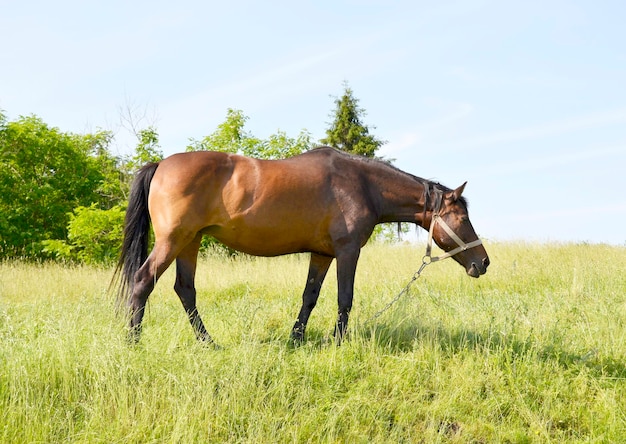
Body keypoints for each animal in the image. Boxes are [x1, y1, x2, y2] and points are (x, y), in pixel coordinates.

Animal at [114, 146, 490, 344]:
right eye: (461, 218)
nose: (483, 262)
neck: (362, 185)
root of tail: (160, 164)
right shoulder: (347, 251)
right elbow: (344, 297)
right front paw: (339, 341)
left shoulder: (322, 254)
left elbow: (310, 296)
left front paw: (296, 338)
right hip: (173, 240)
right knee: (144, 281)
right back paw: (134, 342)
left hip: (190, 242)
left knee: (185, 290)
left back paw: (209, 343)